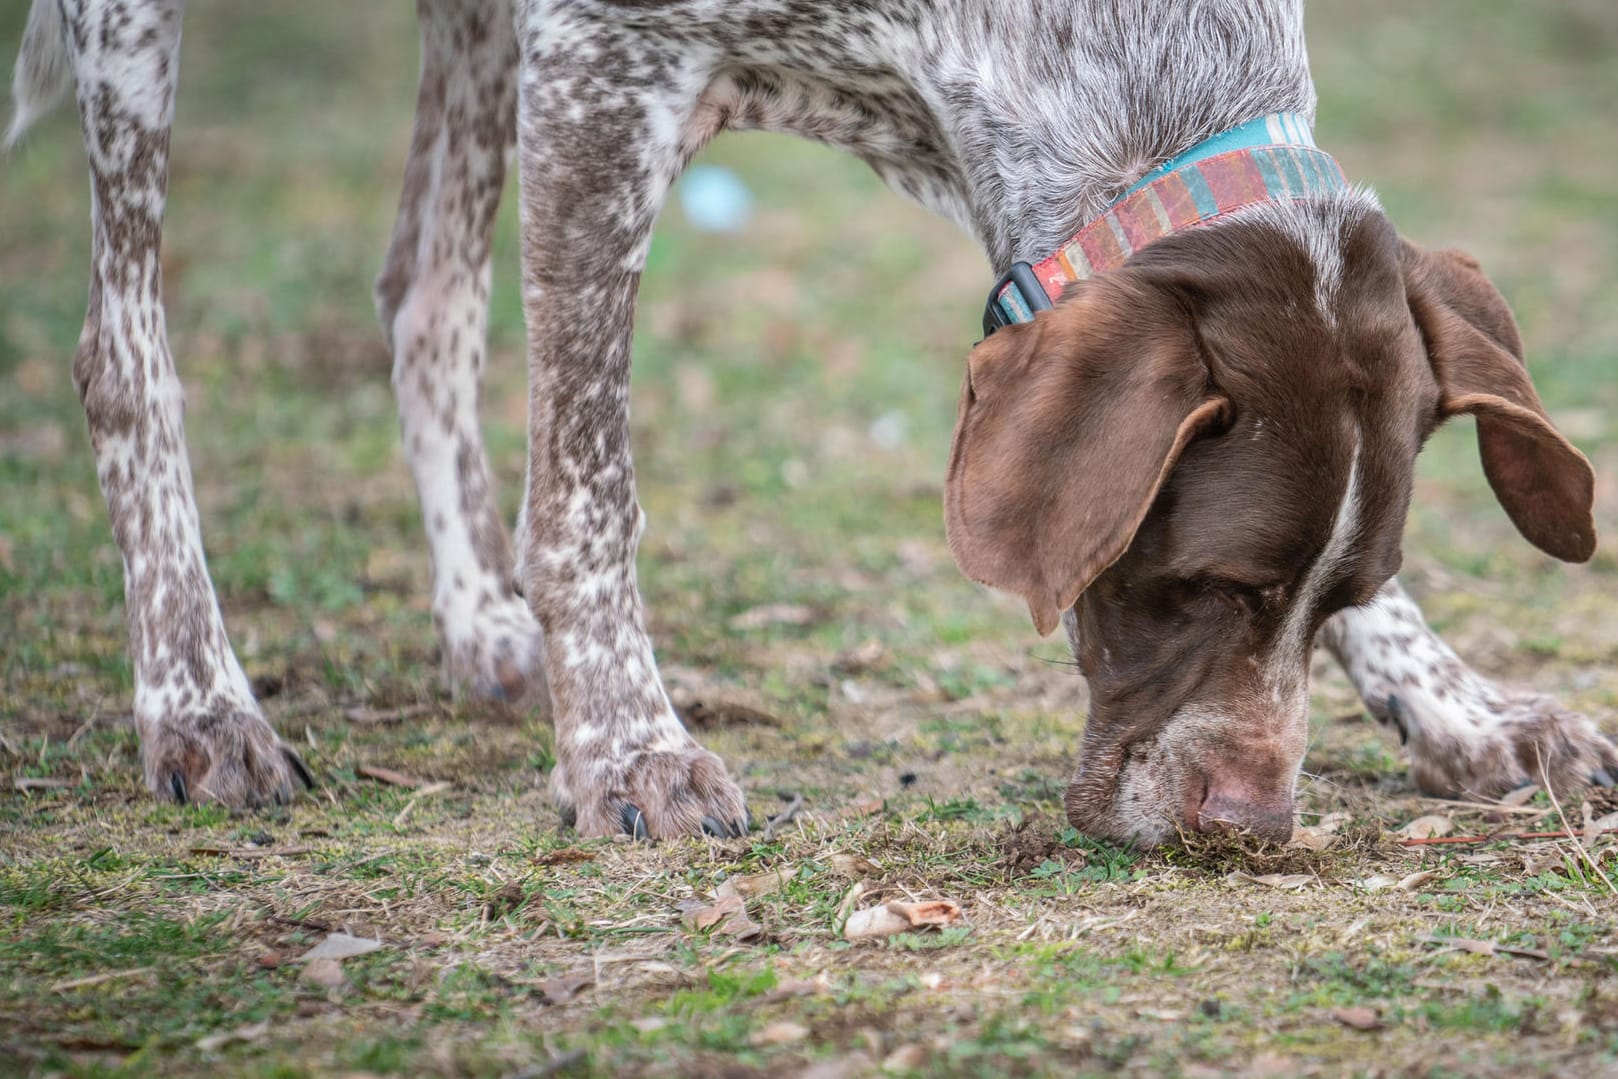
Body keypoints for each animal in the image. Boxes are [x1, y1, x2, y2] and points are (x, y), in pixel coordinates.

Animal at [6, 0, 1611, 841]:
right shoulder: (597, 69)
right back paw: (200, 701)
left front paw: (1461, 705)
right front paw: (628, 747)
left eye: (1334, 590)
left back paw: (480, 626)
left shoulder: (978, 157)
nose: (1252, 821)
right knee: (123, 343)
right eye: (1204, 584)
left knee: (421, 293)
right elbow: (586, 484)